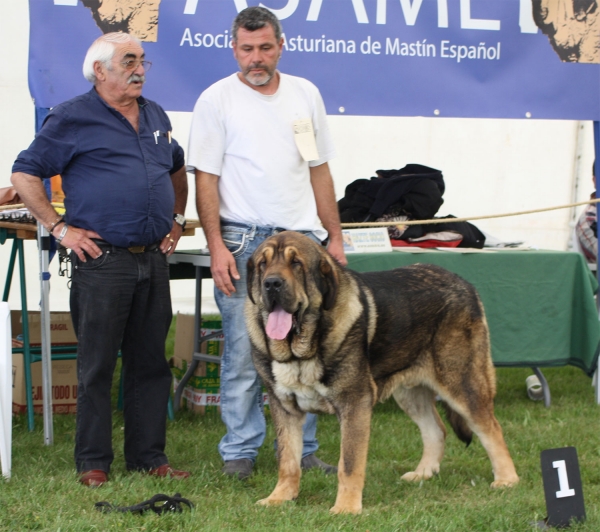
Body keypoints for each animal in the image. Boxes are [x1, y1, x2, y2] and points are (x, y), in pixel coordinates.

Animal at [246, 231, 516, 512]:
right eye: (262, 265)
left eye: (296, 263)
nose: (272, 283)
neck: (300, 351)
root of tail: (464, 283)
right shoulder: (284, 408)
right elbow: (288, 460)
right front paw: (280, 498)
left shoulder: (354, 404)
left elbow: (349, 463)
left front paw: (346, 508)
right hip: (410, 393)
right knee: (436, 430)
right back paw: (423, 473)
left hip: (463, 383)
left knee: (491, 428)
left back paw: (507, 479)